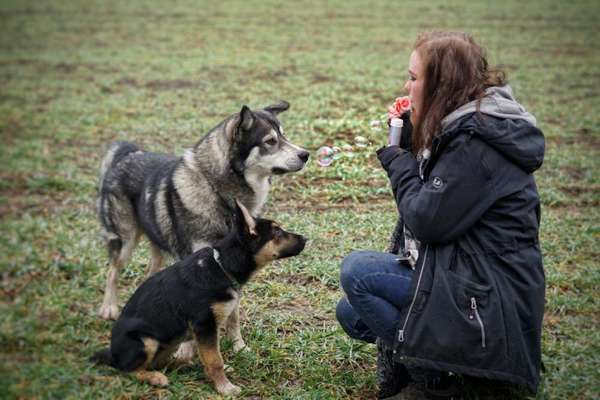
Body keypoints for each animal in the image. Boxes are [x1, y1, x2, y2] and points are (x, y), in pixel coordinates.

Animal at [91, 202, 308, 396]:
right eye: (277, 232)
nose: (306, 239)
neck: (222, 266)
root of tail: (112, 354)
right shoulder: (204, 325)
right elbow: (214, 359)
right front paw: (225, 388)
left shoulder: (208, 327)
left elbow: (210, 355)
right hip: (146, 341)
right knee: (128, 369)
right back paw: (155, 377)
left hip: (171, 341)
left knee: (162, 362)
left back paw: (185, 366)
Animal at [98, 101, 310, 320]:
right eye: (270, 141)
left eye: (284, 136)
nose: (306, 154)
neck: (218, 191)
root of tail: (127, 154)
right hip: (126, 241)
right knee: (113, 269)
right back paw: (109, 307)